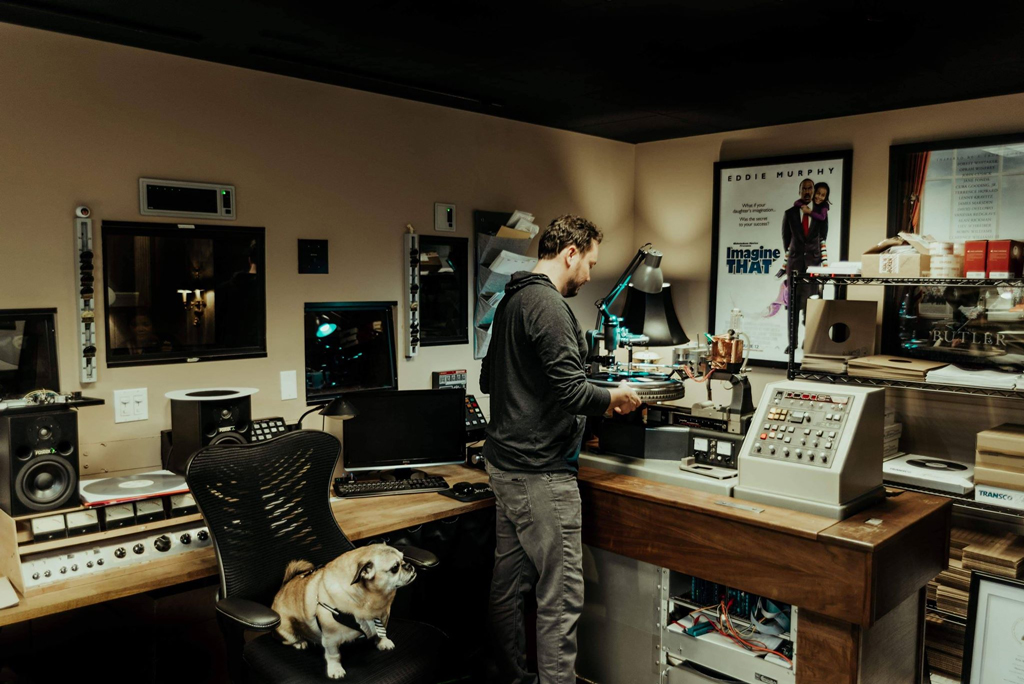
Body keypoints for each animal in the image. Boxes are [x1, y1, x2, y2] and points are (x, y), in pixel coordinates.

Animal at [272, 544, 419, 679]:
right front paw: (335, 669)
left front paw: (383, 642)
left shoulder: (383, 616)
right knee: (289, 640)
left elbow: (381, 633)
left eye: (403, 558)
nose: (409, 565)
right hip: (286, 629)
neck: (369, 602)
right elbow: (334, 655)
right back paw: (300, 642)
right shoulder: (330, 639)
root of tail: (282, 588)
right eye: (395, 568)